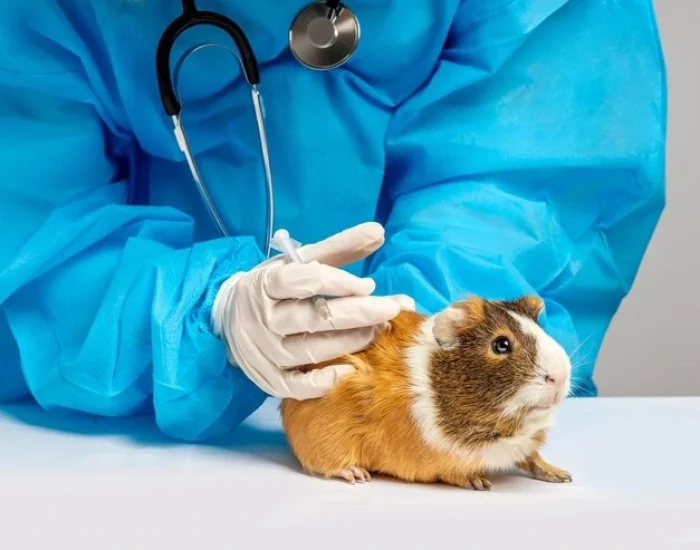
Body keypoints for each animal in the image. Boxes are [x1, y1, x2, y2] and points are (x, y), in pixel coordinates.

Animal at [280, 295, 573, 490]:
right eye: (501, 344)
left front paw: (562, 475)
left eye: (541, 331)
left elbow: (532, 459)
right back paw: (355, 474)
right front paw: (480, 482)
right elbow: (455, 472)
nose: (559, 377)